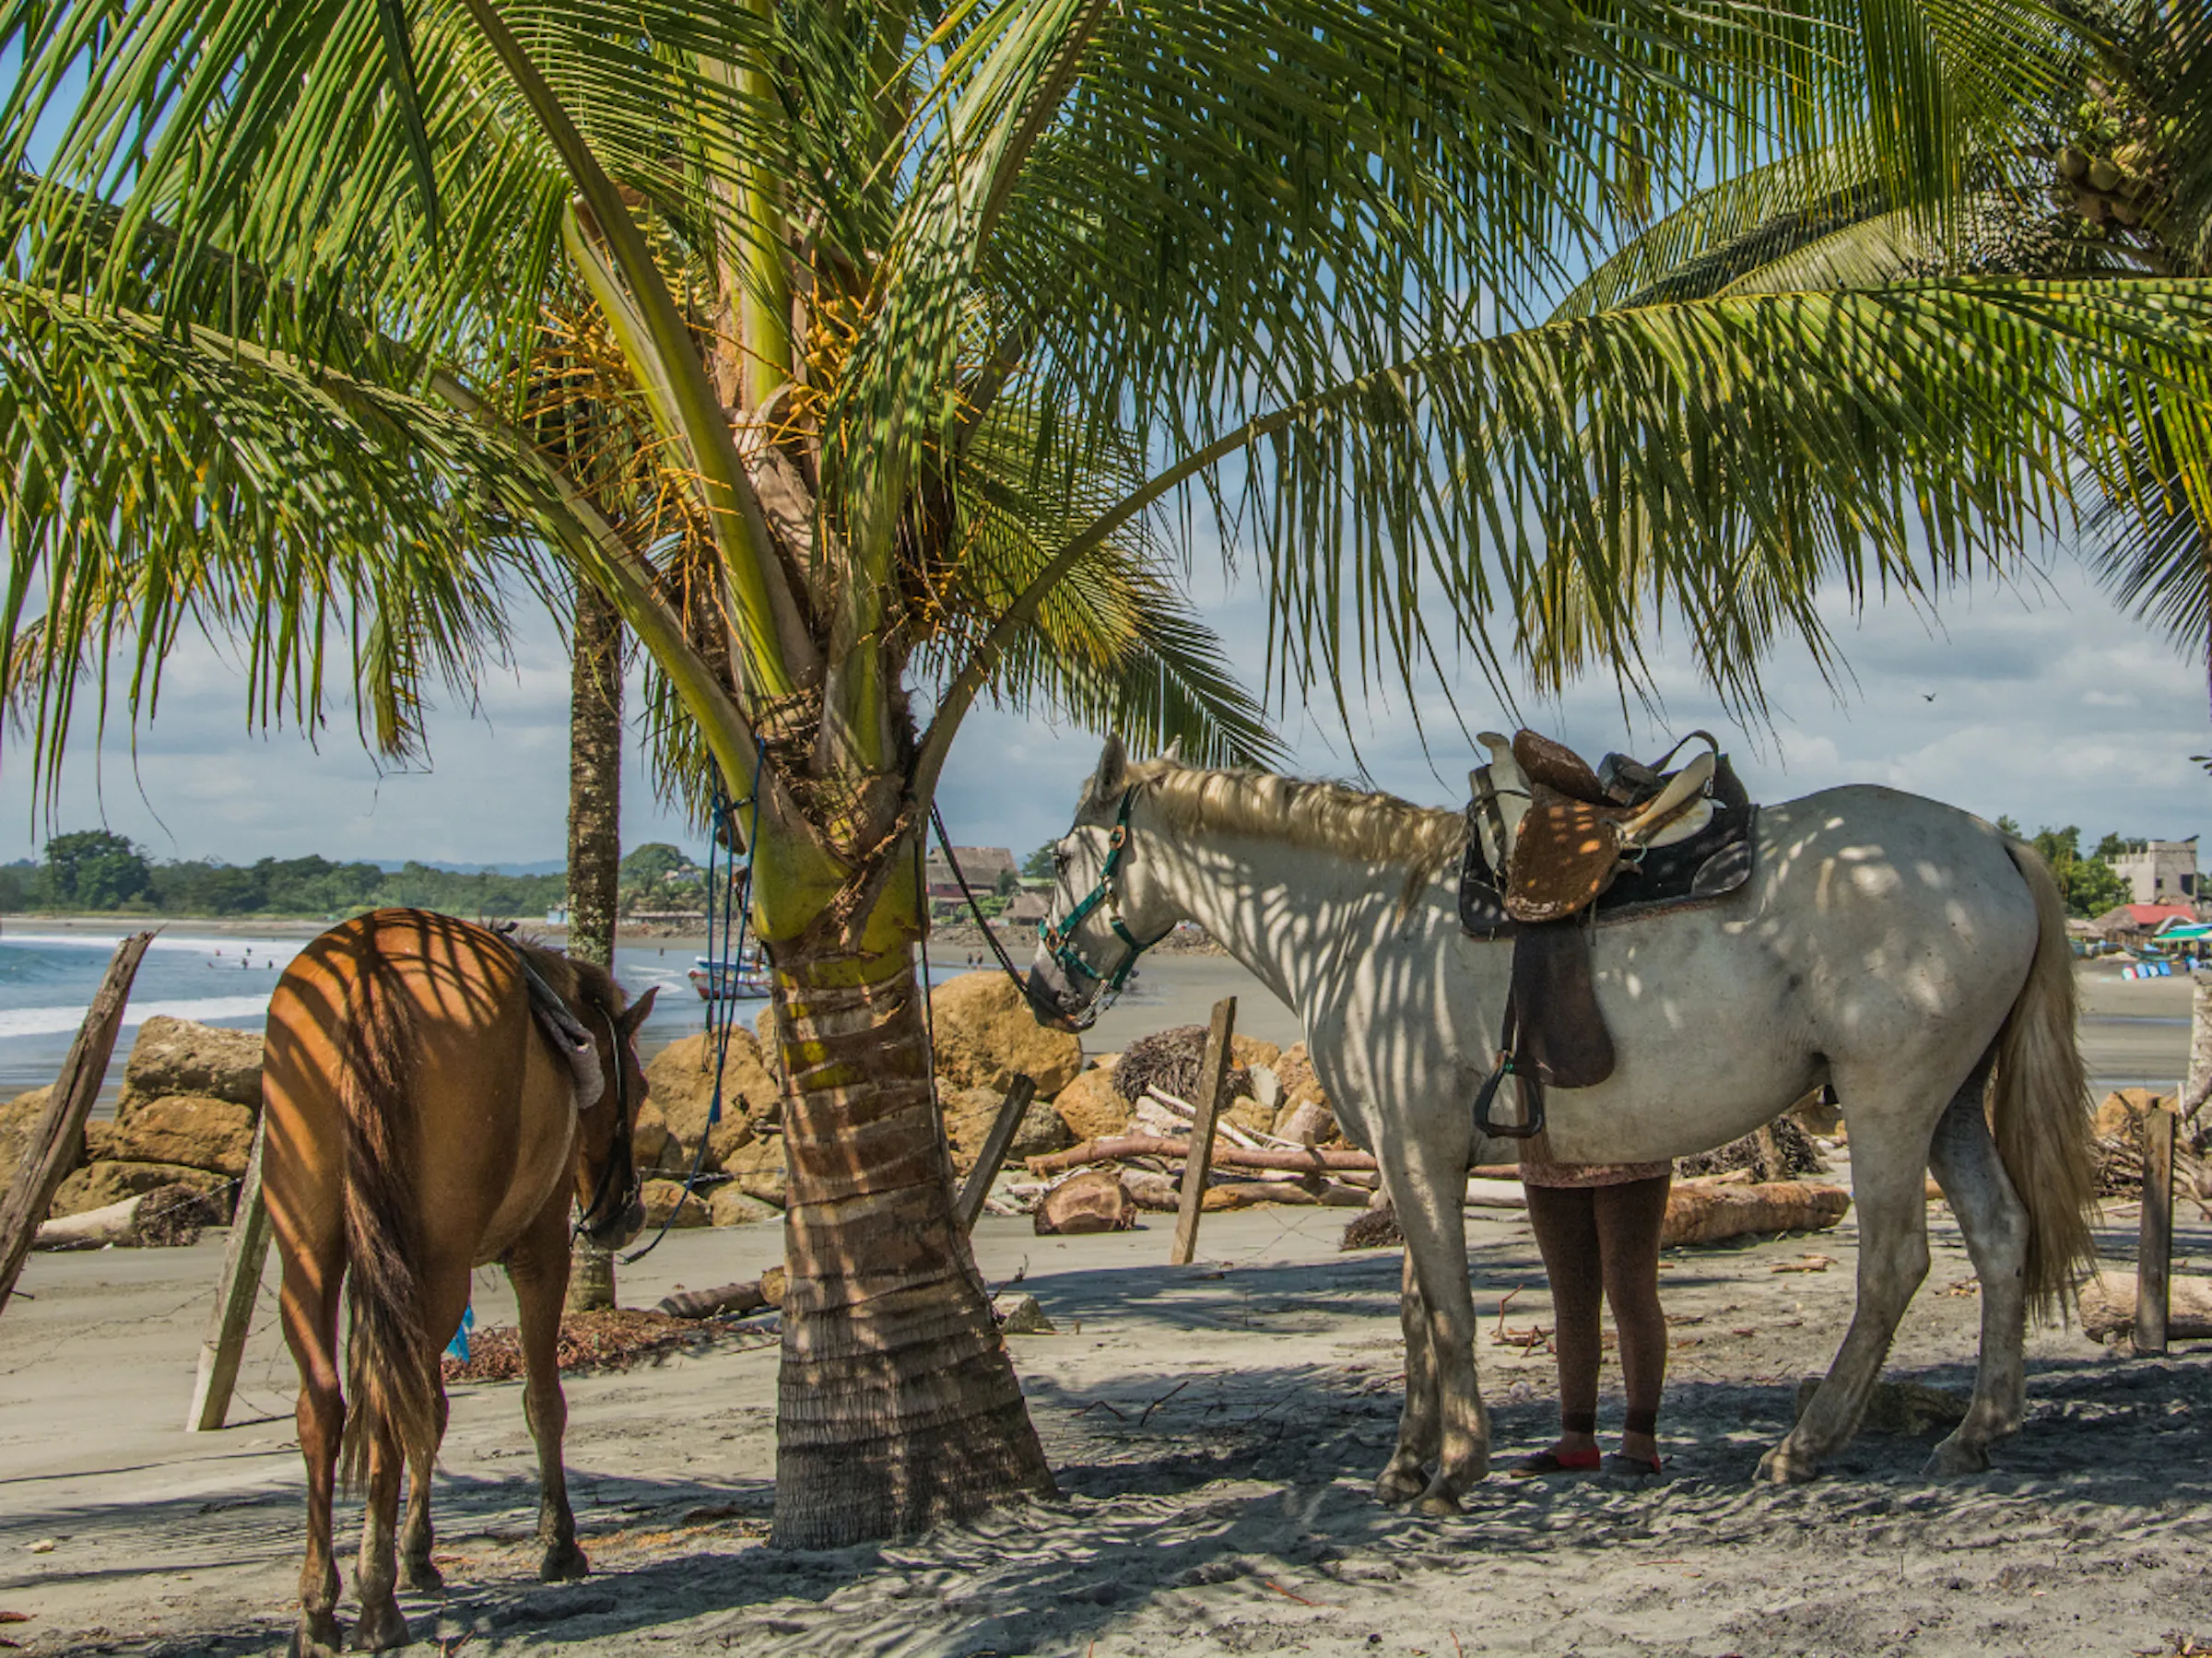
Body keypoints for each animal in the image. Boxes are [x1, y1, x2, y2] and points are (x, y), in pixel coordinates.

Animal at [262, 909, 656, 1656]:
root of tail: (370, 962)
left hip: (312, 1251)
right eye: (643, 1092)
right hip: (433, 1262)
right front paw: (558, 1543)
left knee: (327, 1403)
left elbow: (435, 1410)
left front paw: (418, 1554)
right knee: (385, 1402)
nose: (624, 1215)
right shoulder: (538, 1252)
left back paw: (320, 1606)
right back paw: (375, 1599)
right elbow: (541, 1401)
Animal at [1028, 736, 2096, 1516]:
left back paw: (1806, 1446)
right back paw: (1978, 1429)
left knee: (1894, 1263)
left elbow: (1449, 1310)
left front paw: (1456, 1466)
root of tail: (1993, 843)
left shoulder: (1417, 1156)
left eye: (1066, 855)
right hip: (1949, 1105)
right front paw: (1406, 1464)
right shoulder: (1414, 1158)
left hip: (1888, 1105)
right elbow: (1418, 1312)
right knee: (2001, 1236)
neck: (1361, 925)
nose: (1042, 989)